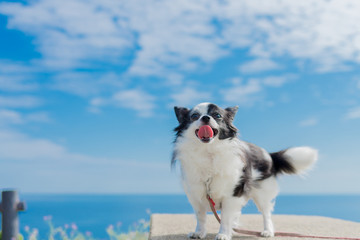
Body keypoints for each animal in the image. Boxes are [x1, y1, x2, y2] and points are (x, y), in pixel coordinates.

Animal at [172, 102, 318, 240]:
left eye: (217, 115)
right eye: (194, 116)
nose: (205, 117)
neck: (208, 151)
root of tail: (269, 155)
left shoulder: (232, 194)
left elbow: (225, 217)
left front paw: (223, 234)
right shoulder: (196, 196)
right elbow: (201, 217)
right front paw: (199, 233)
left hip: (262, 193)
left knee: (266, 213)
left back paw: (267, 231)